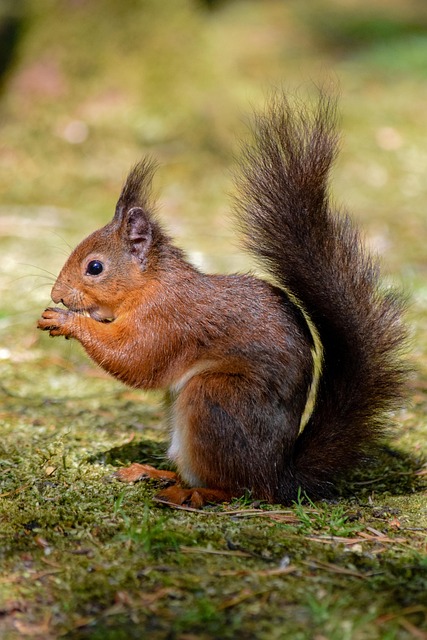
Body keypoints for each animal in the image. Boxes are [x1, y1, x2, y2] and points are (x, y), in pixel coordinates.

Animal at [37, 91, 408, 508]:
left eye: (95, 267)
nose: (56, 294)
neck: (152, 285)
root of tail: (277, 475)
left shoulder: (170, 321)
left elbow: (136, 359)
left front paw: (66, 321)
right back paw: (154, 473)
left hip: (214, 400)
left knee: (238, 488)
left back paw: (191, 493)